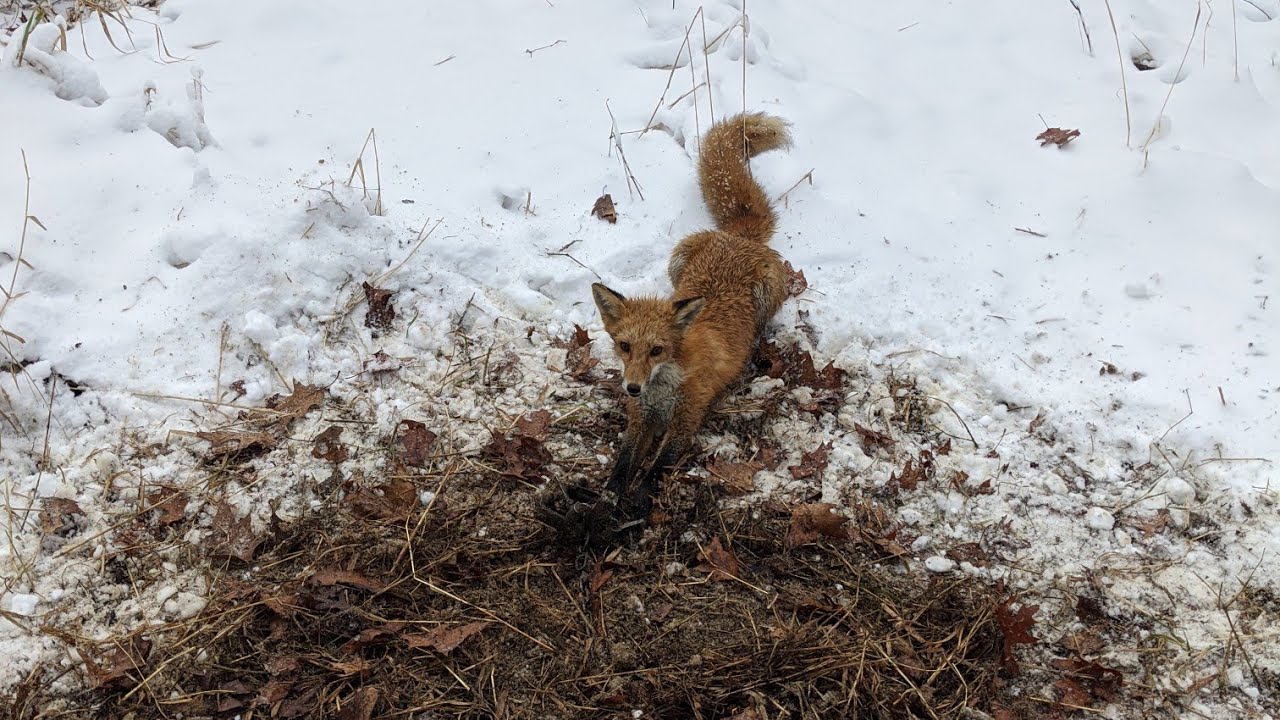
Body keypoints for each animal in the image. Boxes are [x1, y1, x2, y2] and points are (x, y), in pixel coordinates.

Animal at [591, 111, 793, 525]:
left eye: (657, 350)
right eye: (624, 346)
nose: (631, 387)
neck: (662, 388)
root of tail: (738, 238)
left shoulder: (687, 419)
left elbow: (656, 469)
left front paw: (638, 506)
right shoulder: (641, 417)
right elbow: (623, 462)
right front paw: (608, 501)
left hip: (767, 294)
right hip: (676, 259)